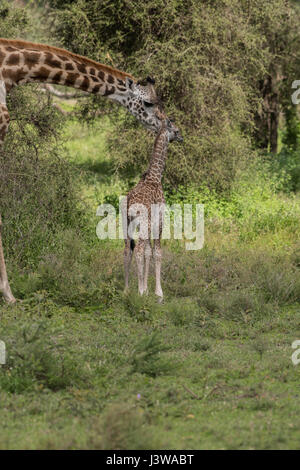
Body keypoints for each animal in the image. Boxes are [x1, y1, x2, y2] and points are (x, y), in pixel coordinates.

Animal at [122, 117, 183, 302]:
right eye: (176, 130)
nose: (181, 138)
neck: (155, 177)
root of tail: (130, 204)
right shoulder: (160, 220)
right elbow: (157, 252)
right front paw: (157, 293)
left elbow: (149, 252)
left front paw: (148, 289)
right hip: (144, 223)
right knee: (139, 249)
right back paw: (140, 291)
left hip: (126, 224)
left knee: (128, 250)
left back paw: (126, 290)